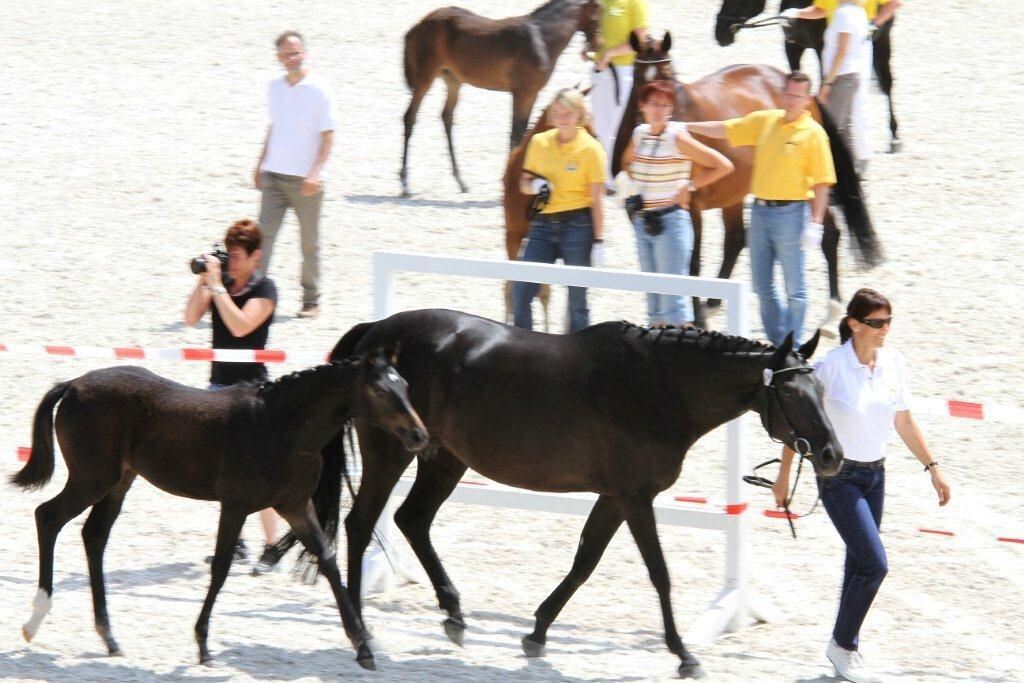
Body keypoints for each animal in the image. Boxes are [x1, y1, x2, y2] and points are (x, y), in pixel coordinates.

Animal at [9, 350, 423, 671]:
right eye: (381, 391)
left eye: (405, 385)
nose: (420, 436)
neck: (281, 427)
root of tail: (73, 384)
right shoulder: (236, 504)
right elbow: (221, 567)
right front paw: (203, 645)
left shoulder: (294, 506)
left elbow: (328, 561)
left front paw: (364, 647)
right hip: (92, 479)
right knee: (48, 517)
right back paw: (35, 619)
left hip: (119, 483)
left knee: (93, 536)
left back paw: (109, 637)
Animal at [296, 311, 839, 679]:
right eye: (793, 396)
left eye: (823, 393)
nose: (833, 456)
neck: (658, 387)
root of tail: (377, 333)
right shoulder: (635, 496)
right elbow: (658, 573)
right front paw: (684, 654)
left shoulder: (616, 497)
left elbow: (584, 562)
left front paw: (536, 633)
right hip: (392, 453)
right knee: (361, 524)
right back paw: (363, 634)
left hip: (444, 458)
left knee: (412, 520)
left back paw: (454, 615)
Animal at [397, 0, 598, 197]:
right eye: (598, 14)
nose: (597, 46)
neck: (541, 38)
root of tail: (418, 25)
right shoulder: (523, 92)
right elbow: (516, 135)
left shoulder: (530, 94)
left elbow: (522, 133)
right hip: (425, 79)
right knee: (410, 117)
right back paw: (405, 184)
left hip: (453, 80)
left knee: (446, 117)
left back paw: (461, 182)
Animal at [606, 33, 888, 327]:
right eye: (637, 75)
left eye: (669, 76)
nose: (656, 120)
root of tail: (806, 94)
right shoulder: (637, 212)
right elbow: (653, 265)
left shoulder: (690, 207)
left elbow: (690, 263)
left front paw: (697, 321)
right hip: (735, 193)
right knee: (736, 239)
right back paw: (715, 298)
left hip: (806, 191)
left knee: (829, 233)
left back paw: (833, 307)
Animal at [716, 0, 901, 150]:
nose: (719, 34)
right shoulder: (792, 45)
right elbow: (794, 78)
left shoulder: (822, 49)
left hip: (883, 41)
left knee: (886, 84)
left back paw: (894, 136)